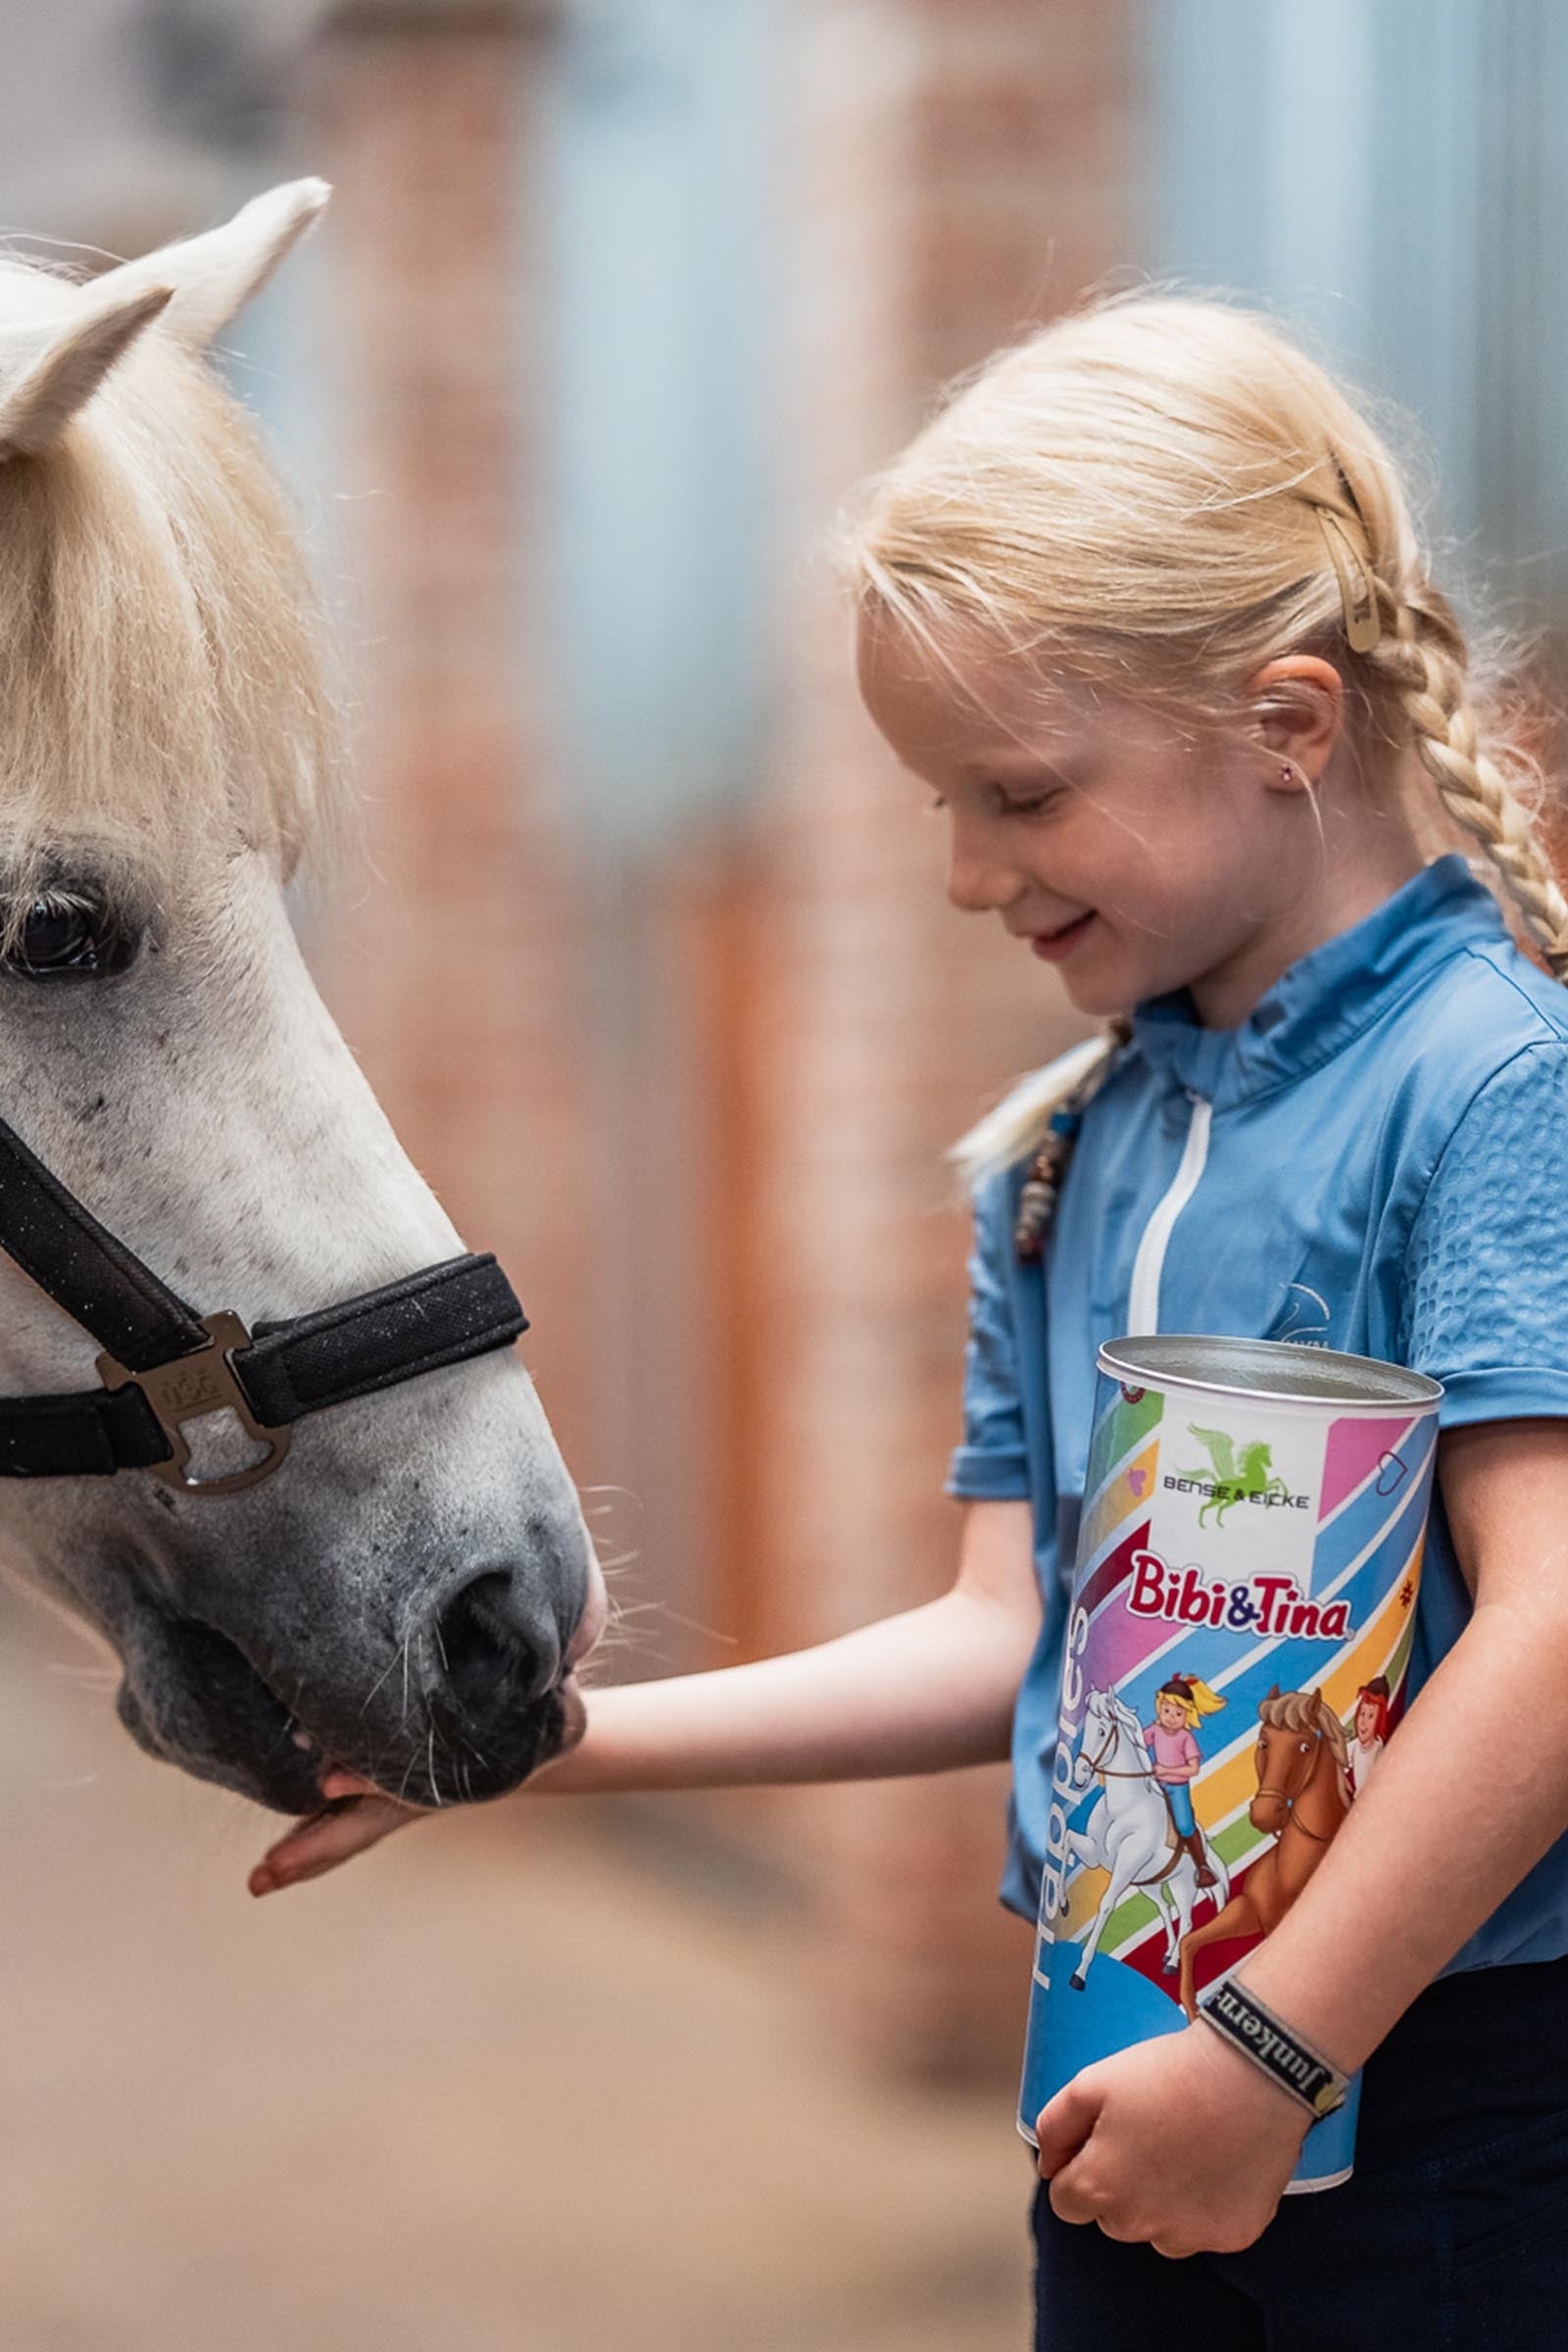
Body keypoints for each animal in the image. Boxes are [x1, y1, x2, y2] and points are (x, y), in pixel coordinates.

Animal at [1056, 1685, 1230, 1989]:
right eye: (1085, 1728)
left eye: (1101, 1731)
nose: (1078, 1775)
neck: (1124, 1806)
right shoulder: (1095, 1854)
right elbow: (1066, 1839)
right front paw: (1064, 1904)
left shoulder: (1126, 1864)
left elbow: (1106, 1904)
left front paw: (1080, 1973)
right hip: (1148, 1884)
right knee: (1166, 1908)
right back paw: (1168, 1953)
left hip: (1183, 1884)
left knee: (1187, 1920)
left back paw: (1173, 1963)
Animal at [1175, 1684, 1352, 2018]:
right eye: (1264, 1741)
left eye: (1306, 1747)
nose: (1264, 1814)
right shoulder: (1255, 1913)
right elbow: (1190, 1942)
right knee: (1190, 1941)